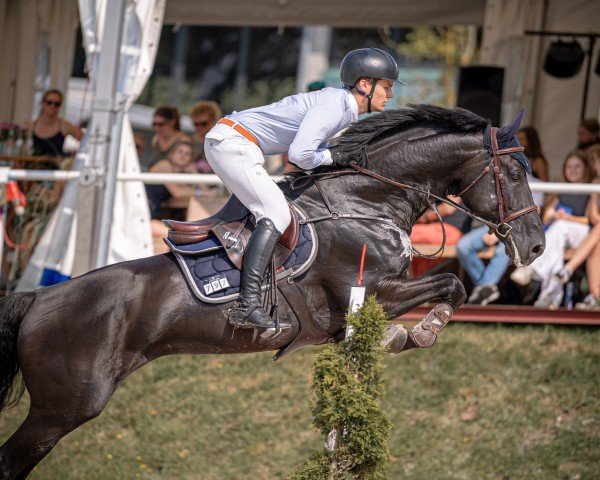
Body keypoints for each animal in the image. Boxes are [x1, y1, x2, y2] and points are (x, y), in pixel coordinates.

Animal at [0, 104, 544, 476]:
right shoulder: (372, 290)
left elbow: (448, 287)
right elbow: (451, 283)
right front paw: (417, 333)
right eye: (514, 173)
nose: (536, 247)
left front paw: (403, 335)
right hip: (65, 405)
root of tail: (39, 298)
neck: (367, 199)